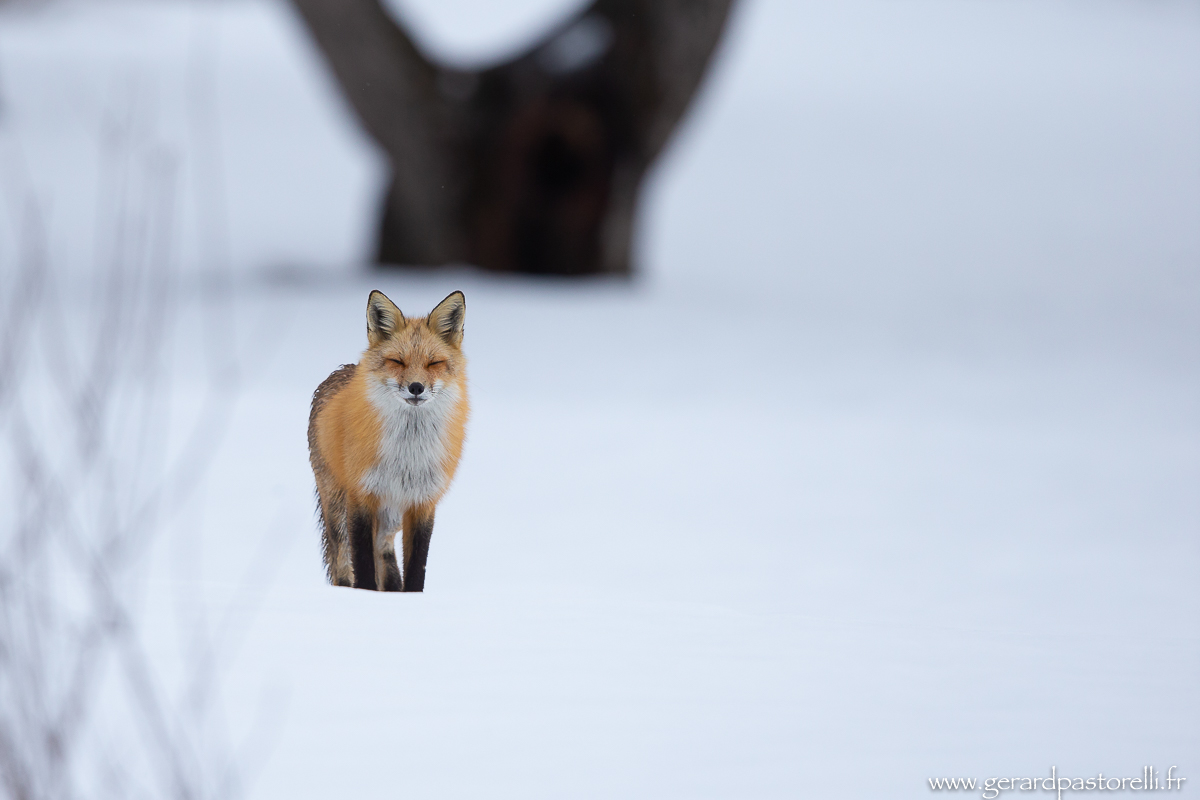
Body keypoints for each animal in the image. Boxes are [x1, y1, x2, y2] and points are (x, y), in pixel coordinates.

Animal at [307, 290, 469, 592]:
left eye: (433, 363)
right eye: (397, 361)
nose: (416, 387)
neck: (406, 454)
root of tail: (343, 369)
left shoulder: (422, 503)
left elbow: (416, 567)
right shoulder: (361, 496)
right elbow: (363, 566)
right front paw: (365, 596)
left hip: (390, 520)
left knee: (385, 557)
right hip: (337, 509)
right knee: (342, 564)